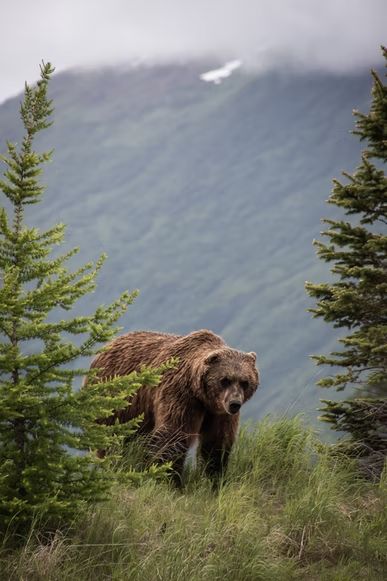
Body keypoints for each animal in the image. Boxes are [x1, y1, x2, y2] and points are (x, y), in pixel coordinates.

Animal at [89, 328, 260, 482]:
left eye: (245, 382)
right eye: (225, 380)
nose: (234, 404)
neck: (201, 395)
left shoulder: (218, 412)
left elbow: (217, 442)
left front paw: (213, 477)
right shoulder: (180, 395)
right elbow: (172, 435)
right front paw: (170, 479)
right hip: (117, 402)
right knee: (115, 439)